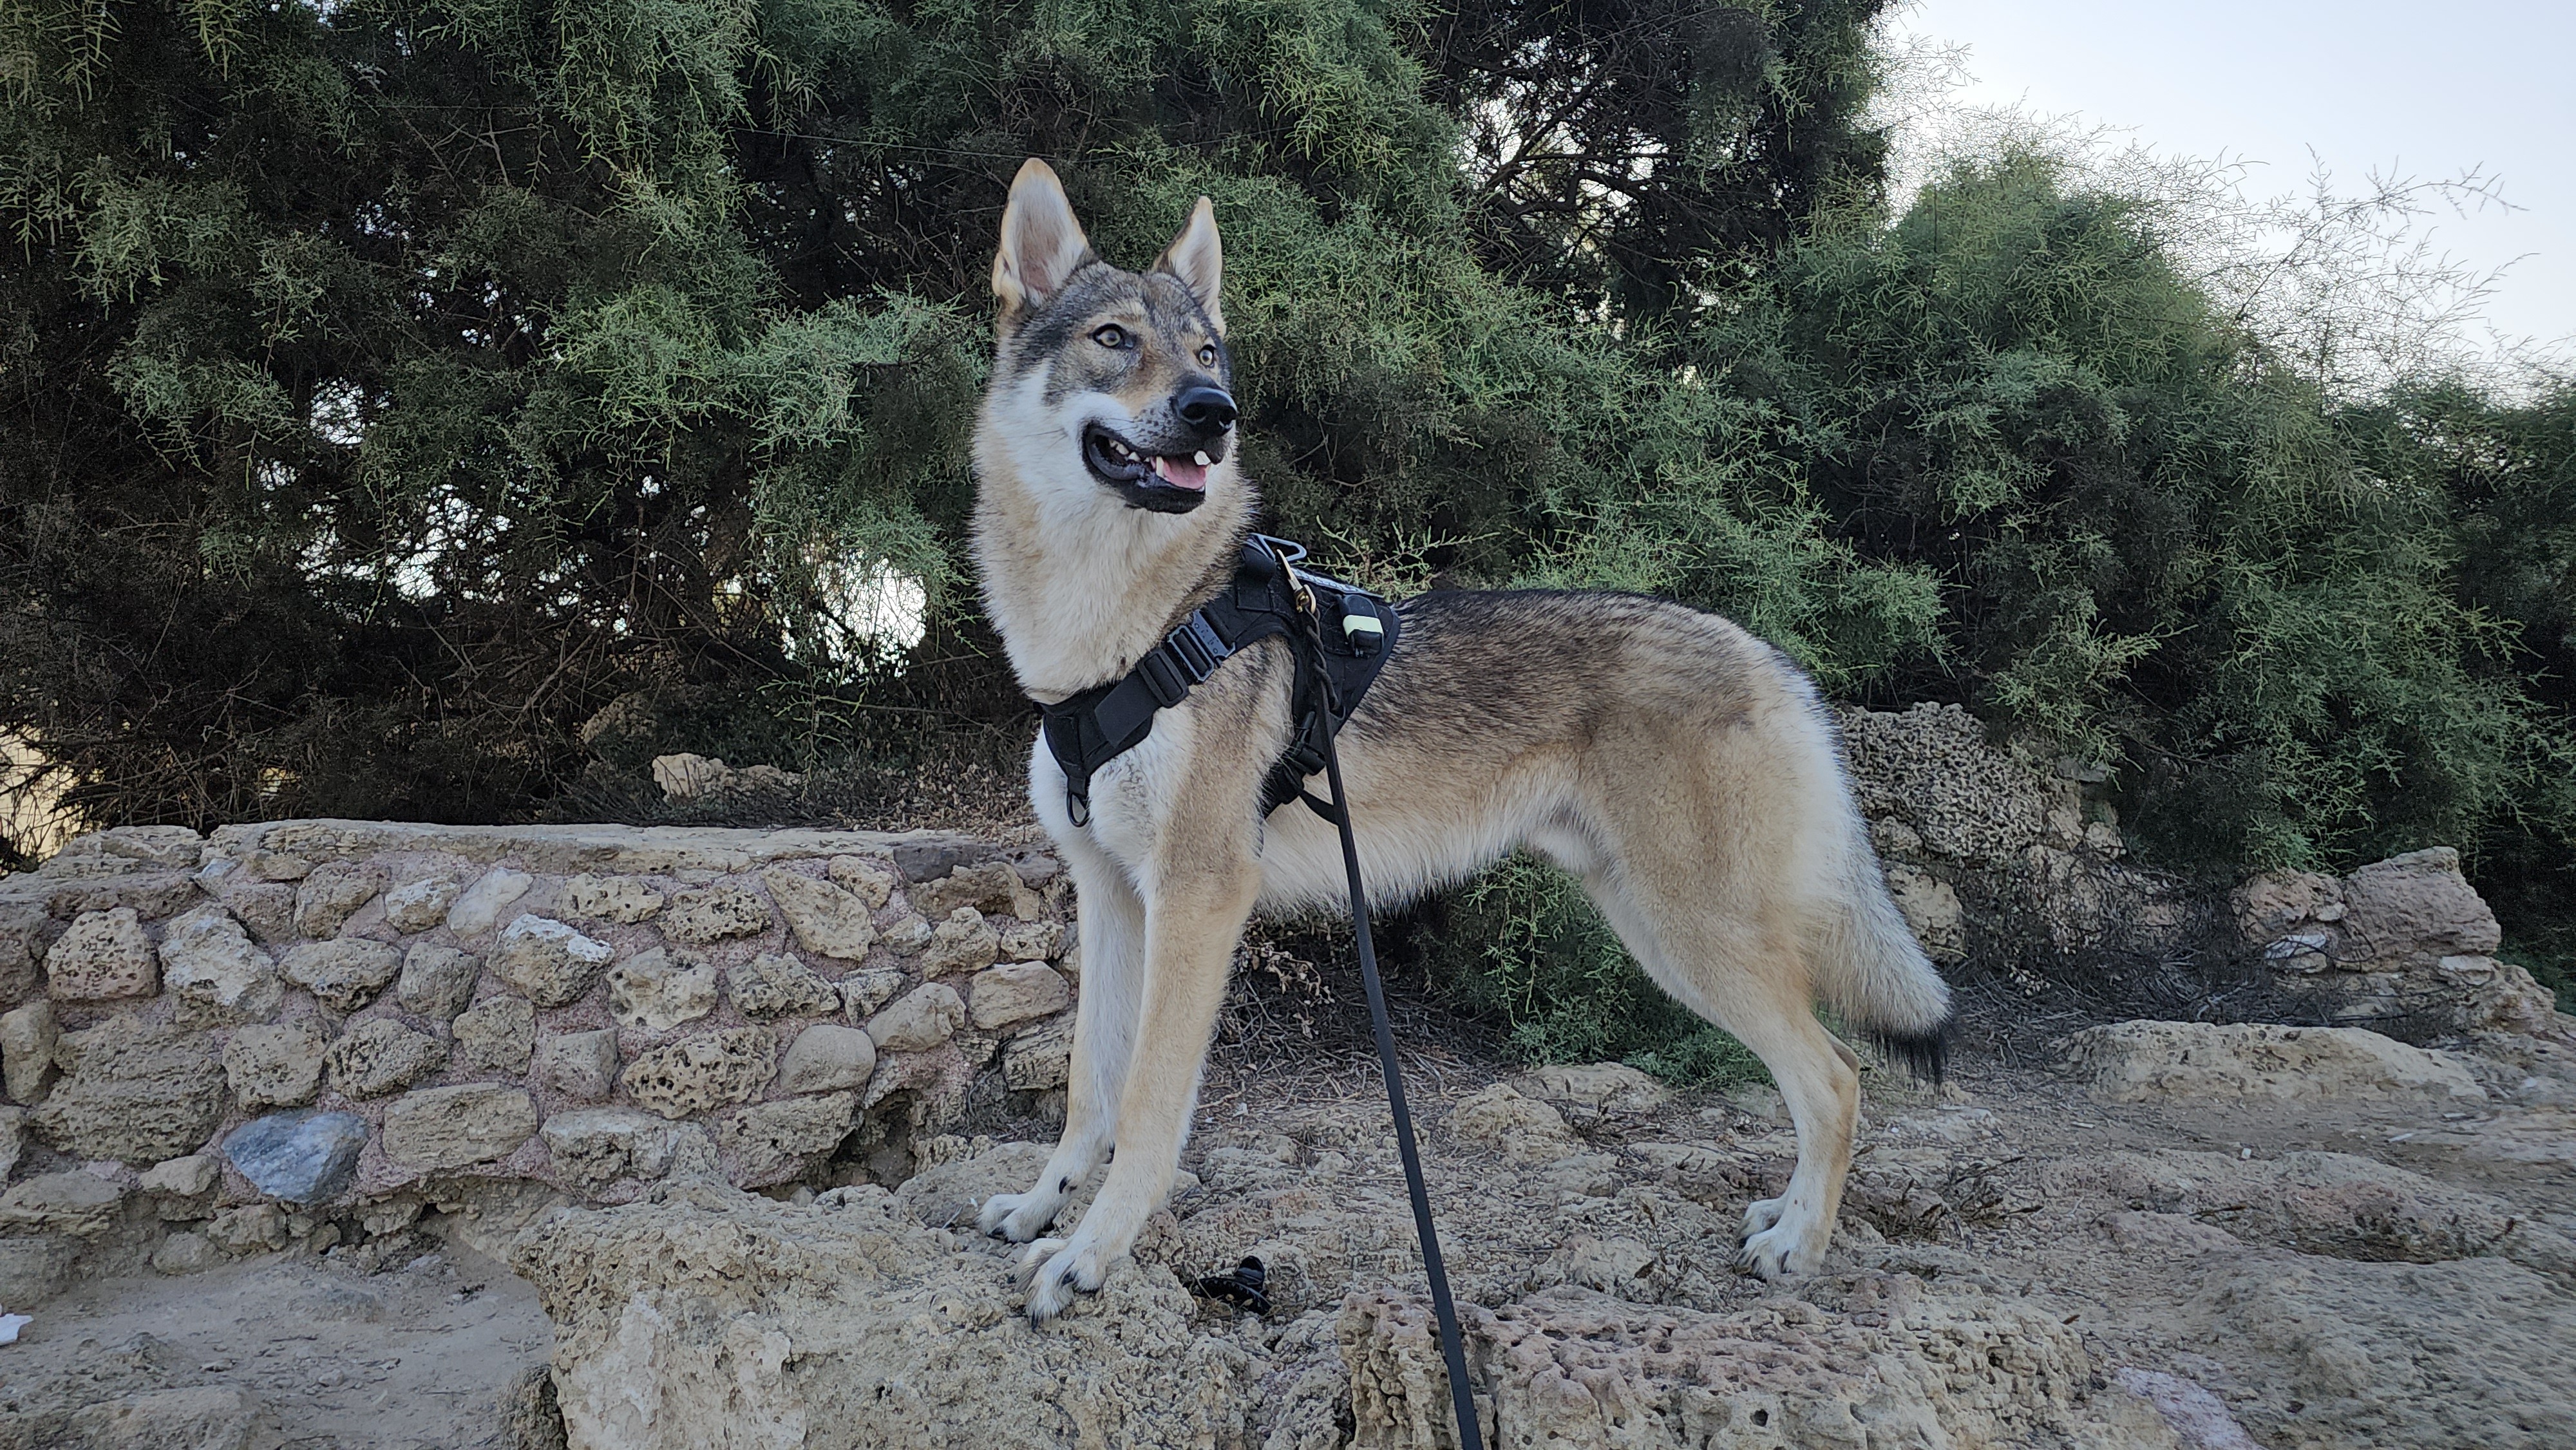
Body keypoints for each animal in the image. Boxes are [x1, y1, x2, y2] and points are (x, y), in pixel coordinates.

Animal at [969, 158, 1952, 1322]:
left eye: (1206, 353)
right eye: (1116, 339)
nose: (1215, 414)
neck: (1125, 638)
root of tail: (1774, 657)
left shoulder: (1200, 897)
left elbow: (1151, 1107)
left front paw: (1091, 1255)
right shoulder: (1114, 895)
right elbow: (1090, 1090)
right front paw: (1042, 1210)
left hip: (1693, 940)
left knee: (1838, 1076)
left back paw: (1799, 1243)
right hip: (1661, 935)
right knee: (1823, 1073)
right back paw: (1785, 1218)